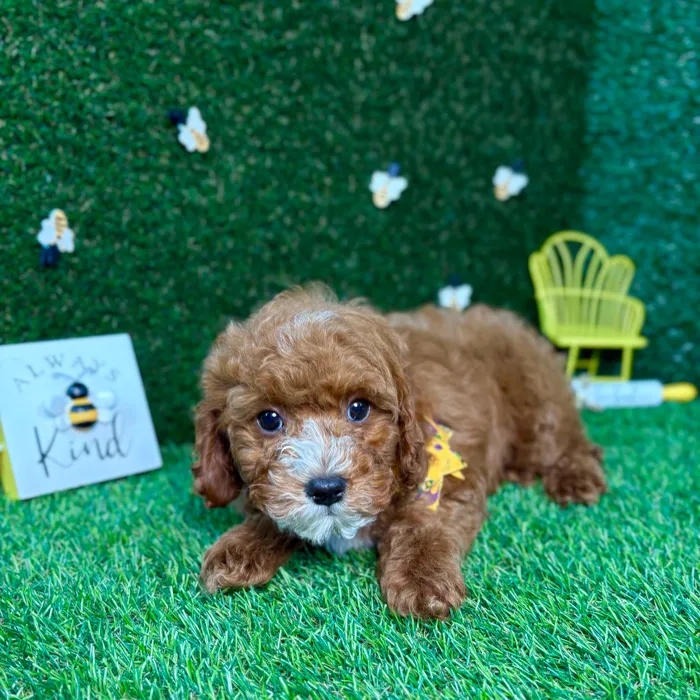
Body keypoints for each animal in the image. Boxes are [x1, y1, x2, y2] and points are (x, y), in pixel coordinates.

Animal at [192, 286, 606, 619]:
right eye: (269, 419)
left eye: (359, 409)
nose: (326, 489)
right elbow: (272, 514)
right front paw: (241, 547)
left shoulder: (446, 476)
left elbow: (422, 523)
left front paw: (422, 581)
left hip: (537, 402)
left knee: (569, 440)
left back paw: (576, 478)